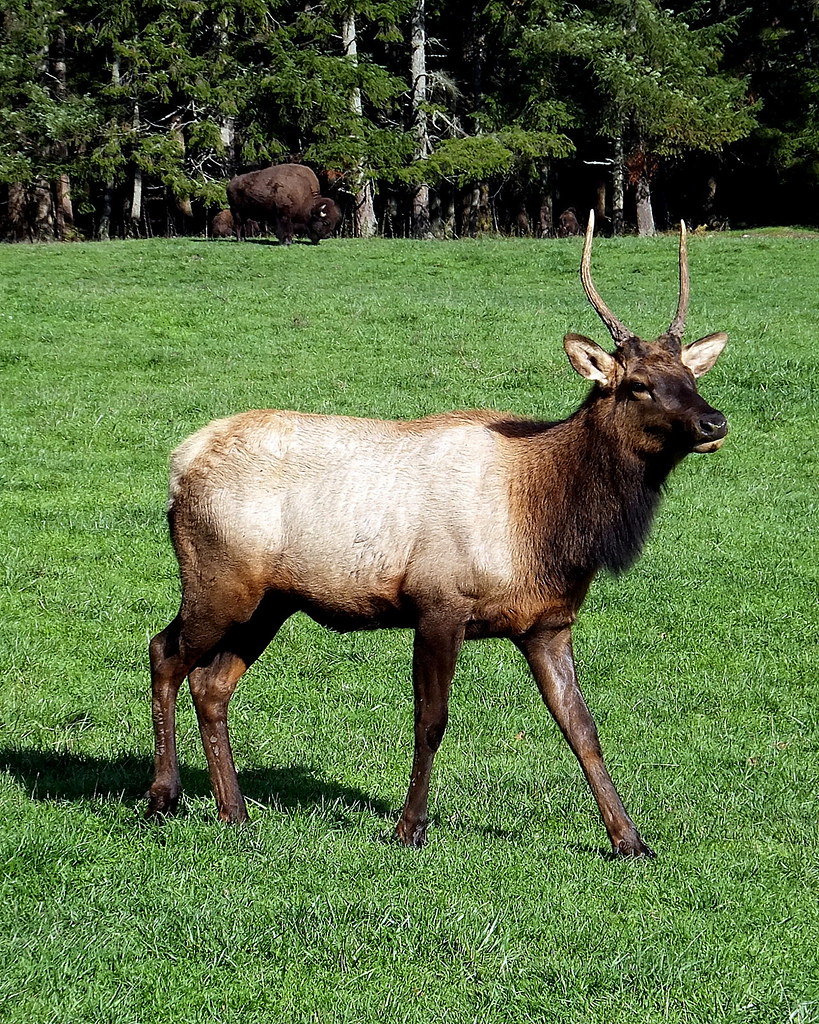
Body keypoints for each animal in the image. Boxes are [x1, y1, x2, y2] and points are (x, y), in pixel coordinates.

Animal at [146, 211, 728, 857]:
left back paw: (236, 812)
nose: (714, 422)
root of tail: (178, 464)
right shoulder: (438, 603)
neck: (545, 526)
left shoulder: (548, 623)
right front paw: (410, 827)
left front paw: (630, 838)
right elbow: (431, 721)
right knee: (164, 653)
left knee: (211, 684)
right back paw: (163, 797)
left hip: (269, 600)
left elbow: (582, 726)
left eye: (690, 375)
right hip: (219, 579)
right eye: (637, 385)